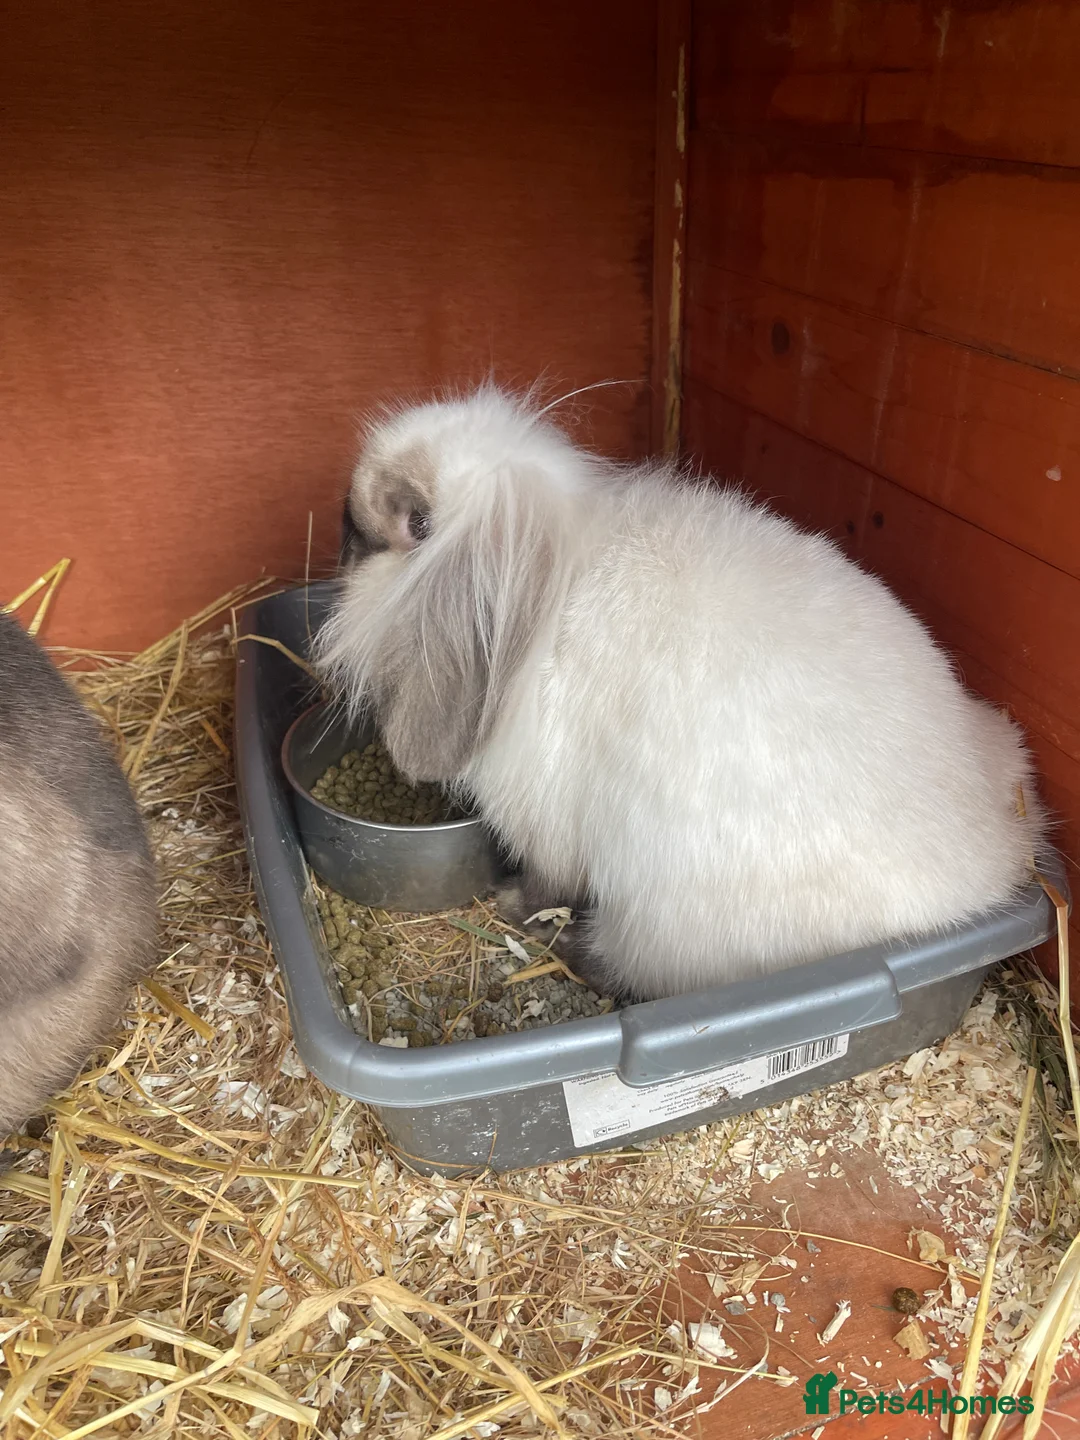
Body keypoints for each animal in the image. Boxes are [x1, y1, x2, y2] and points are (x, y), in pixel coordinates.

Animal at [316, 384, 1045, 1004]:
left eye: (417, 523)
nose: (341, 533)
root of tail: (982, 872)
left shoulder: (546, 829)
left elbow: (549, 882)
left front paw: (512, 904)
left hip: (663, 926)